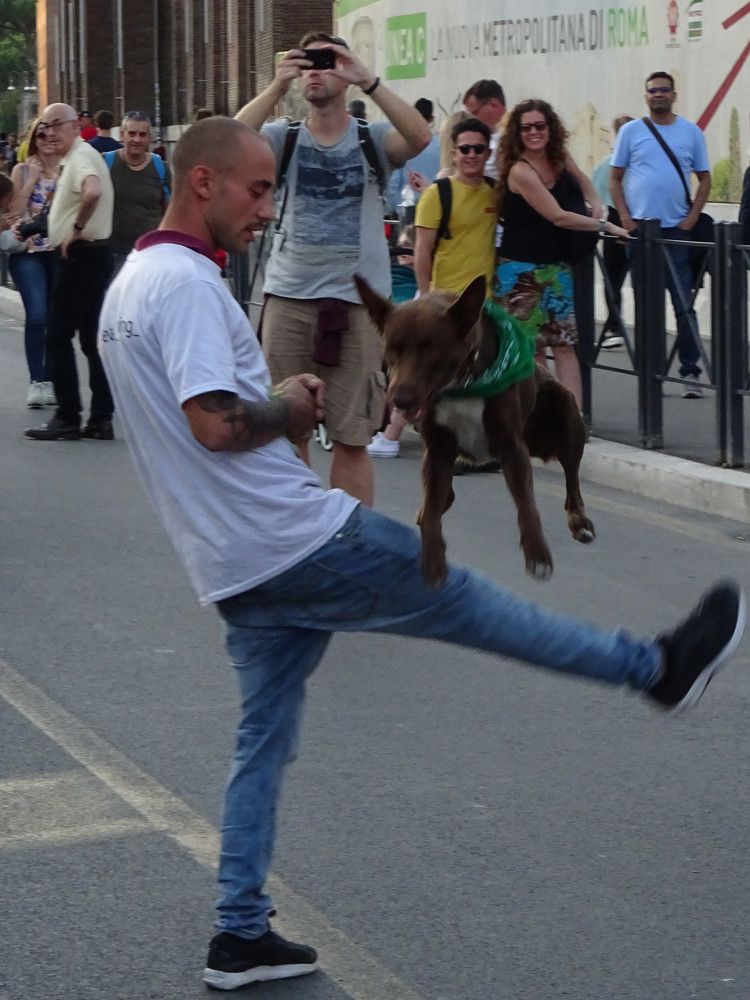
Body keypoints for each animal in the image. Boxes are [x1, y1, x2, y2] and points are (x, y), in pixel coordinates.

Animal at [355, 274, 595, 586]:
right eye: (392, 349)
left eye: (432, 349)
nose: (400, 400)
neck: (462, 383)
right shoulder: (438, 448)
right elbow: (433, 510)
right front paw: (433, 559)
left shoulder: (511, 445)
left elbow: (526, 504)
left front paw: (538, 555)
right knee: (442, 497)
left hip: (566, 413)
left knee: (572, 482)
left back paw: (579, 522)